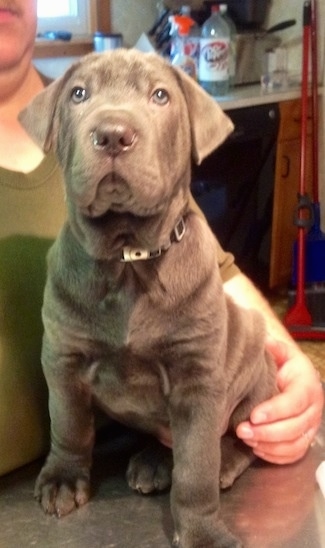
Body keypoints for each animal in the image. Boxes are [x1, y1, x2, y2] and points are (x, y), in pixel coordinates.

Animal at [18, 49, 276, 544]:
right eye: (78, 94)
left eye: (160, 95)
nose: (113, 134)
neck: (128, 259)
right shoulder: (62, 358)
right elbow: (69, 423)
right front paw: (63, 478)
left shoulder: (198, 379)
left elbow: (195, 465)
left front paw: (202, 531)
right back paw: (154, 463)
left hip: (258, 382)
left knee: (237, 439)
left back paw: (220, 464)